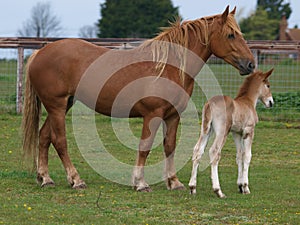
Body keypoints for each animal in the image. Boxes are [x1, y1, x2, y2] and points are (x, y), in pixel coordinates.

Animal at [22, 6, 254, 191]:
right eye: (231, 35)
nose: (250, 64)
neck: (169, 67)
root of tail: (40, 53)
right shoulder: (152, 115)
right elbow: (145, 147)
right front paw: (140, 183)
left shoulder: (172, 116)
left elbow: (169, 146)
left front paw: (174, 182)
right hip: (57, 106)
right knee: (59, 141)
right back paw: (75, 180)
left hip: (63, 105)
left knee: (44, 137)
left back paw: (45, 178)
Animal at [190, 69, 274, 198]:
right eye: (268, 85)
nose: (271, 102)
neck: (248, 102)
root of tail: (209, 104)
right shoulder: (249, 131)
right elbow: (247, 156)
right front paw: (246, 187)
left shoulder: (236, 133)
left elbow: (239, 155)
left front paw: (240, 186)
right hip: (222, 132)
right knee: (214, 152)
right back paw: (218, 191)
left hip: (206, 130)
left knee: (197, 150)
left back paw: (192, 187)